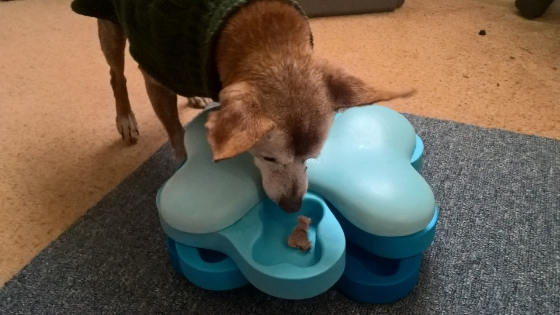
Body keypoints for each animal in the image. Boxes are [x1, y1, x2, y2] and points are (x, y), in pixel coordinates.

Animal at [77, 0, 412, 214]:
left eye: (311, 158)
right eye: (268, 157)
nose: (293, 206)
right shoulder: (154, 72)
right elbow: (175, 134)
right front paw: (185, 164)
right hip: (110, 25)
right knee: (116, 74)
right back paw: (125, 117)